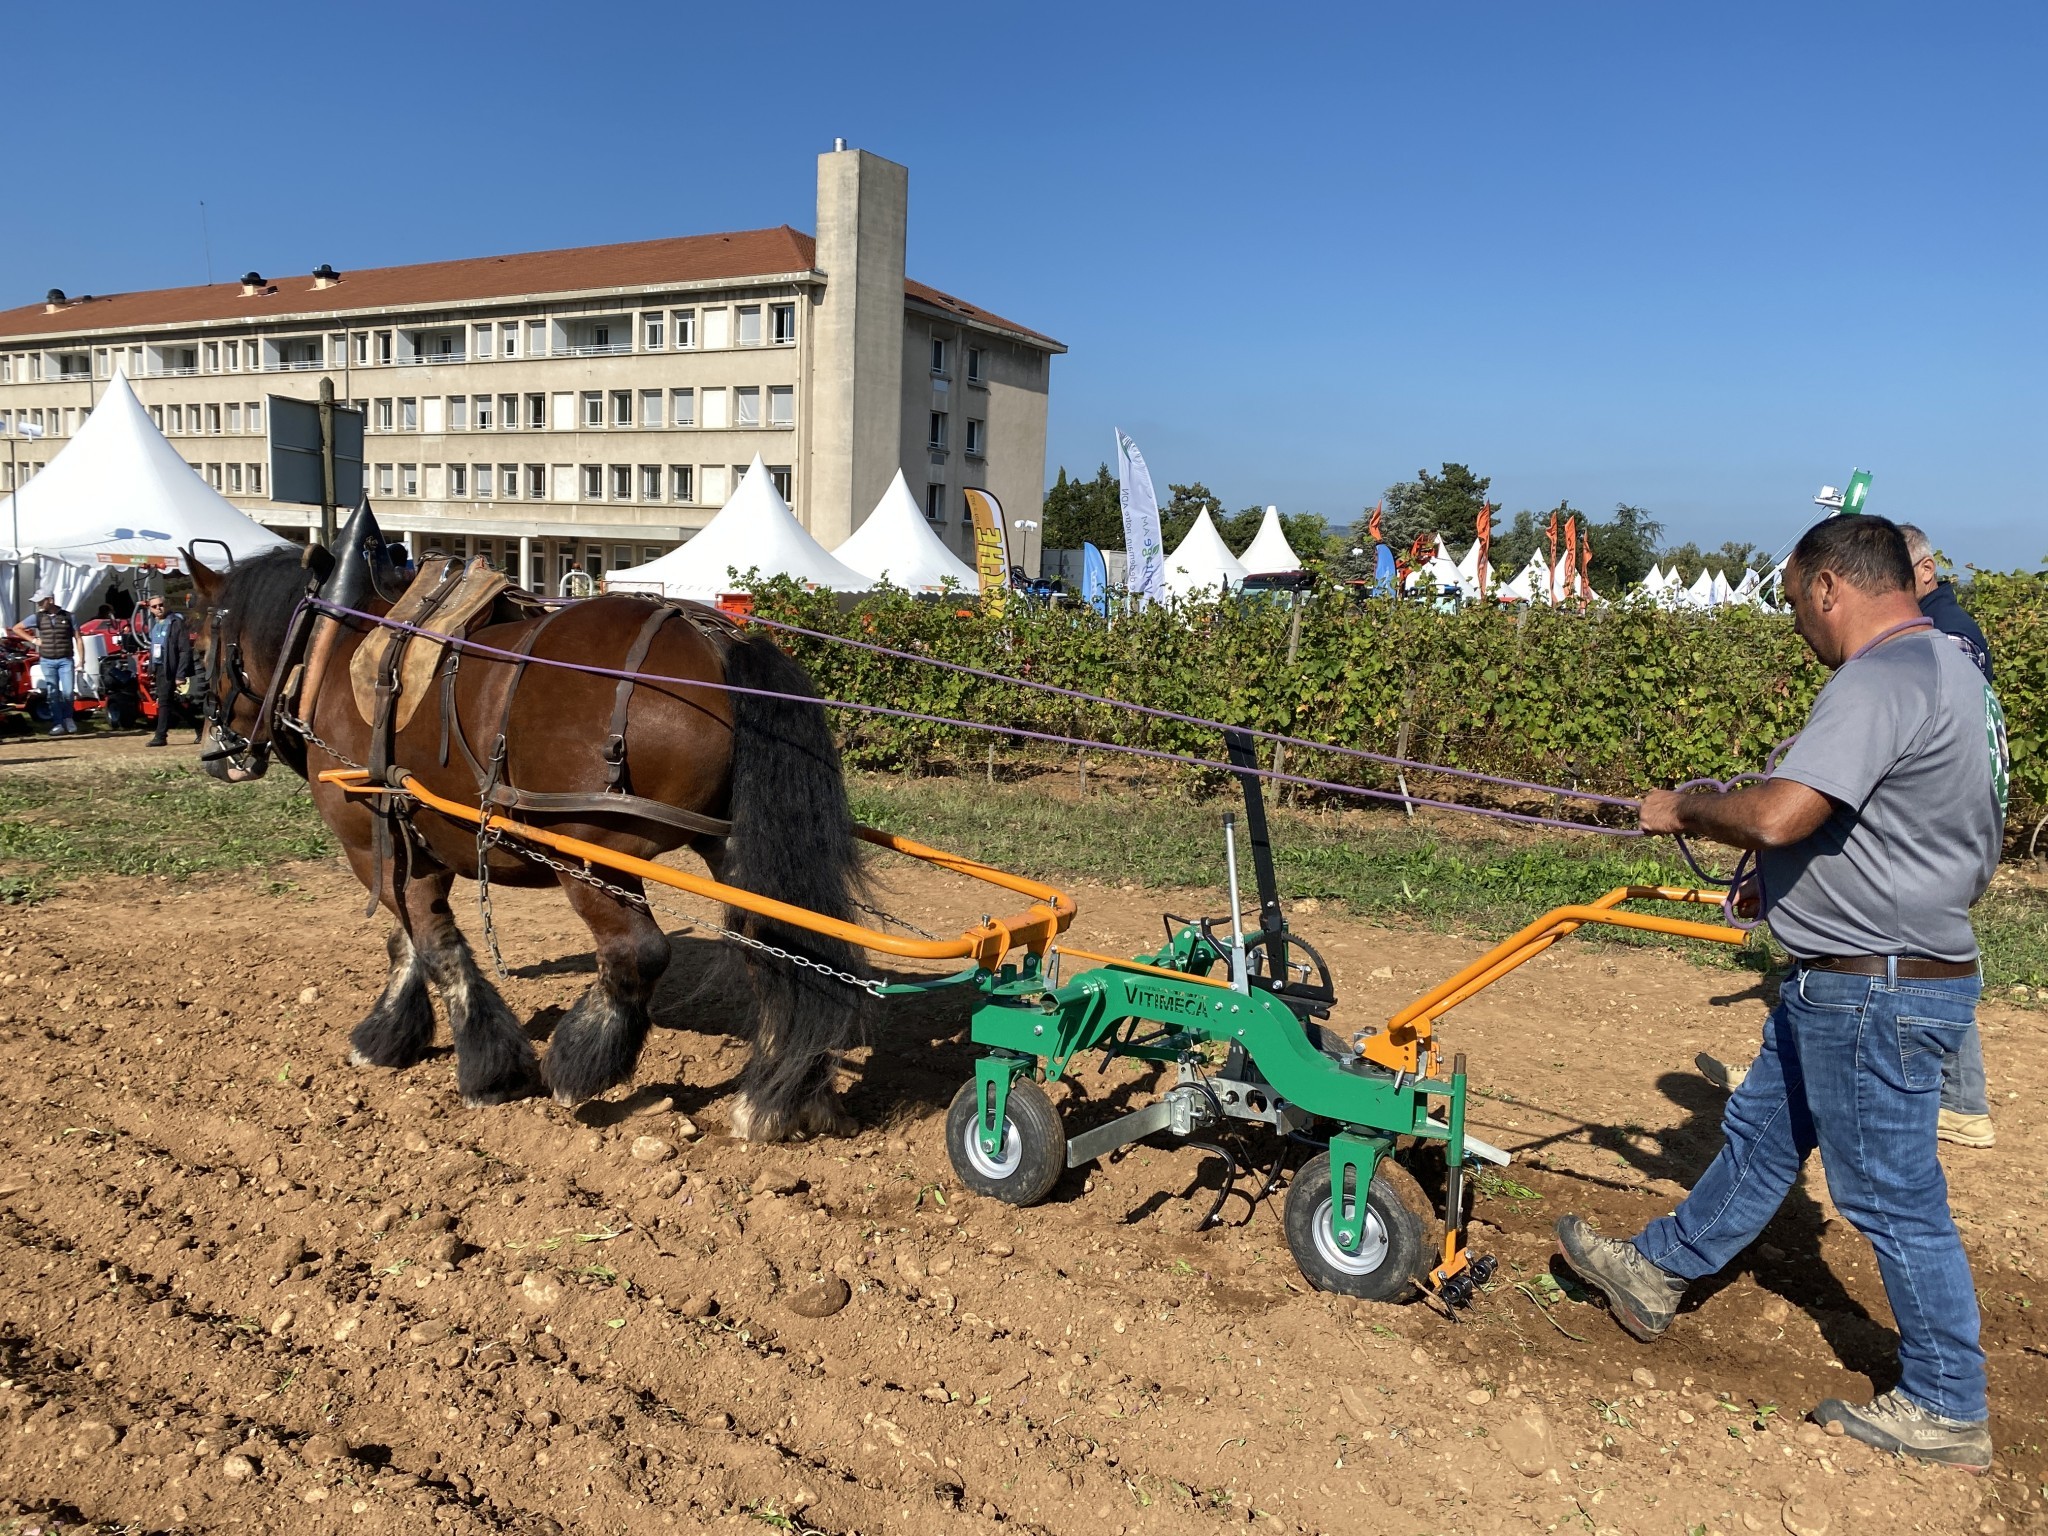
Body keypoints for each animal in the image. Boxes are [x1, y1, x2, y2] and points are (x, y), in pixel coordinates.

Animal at [184, 507, 864, 1146]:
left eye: (201, 640)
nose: (215, 752)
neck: (333, 645)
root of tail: (717, 642)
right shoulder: (413, 843)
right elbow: (407, 944)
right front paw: (390, 1034)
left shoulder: (371, 841)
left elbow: (437, 947)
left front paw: (490, 1069)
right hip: (730, 844)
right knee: (779, 949)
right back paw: (779, 1097)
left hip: (592, 852)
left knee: (637, 952)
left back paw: (580, 1064)